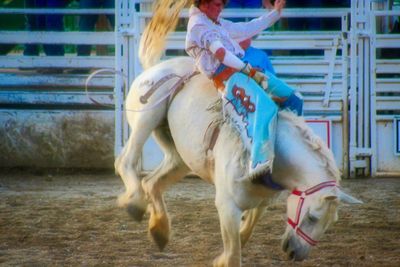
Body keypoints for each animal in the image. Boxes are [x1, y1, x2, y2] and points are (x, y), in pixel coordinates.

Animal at [114, 1, 360, 266]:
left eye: (331, 222)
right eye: (313, 217)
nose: (296, 252)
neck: (277, 157)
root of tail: (156, 67)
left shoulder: (261, 202)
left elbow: (246, 231)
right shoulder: (227, 206)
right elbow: (234, 253)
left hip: (180, 156)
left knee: (152, 182)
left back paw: (159, 230)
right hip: (146, 117)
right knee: (126, 162)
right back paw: (134, 203)